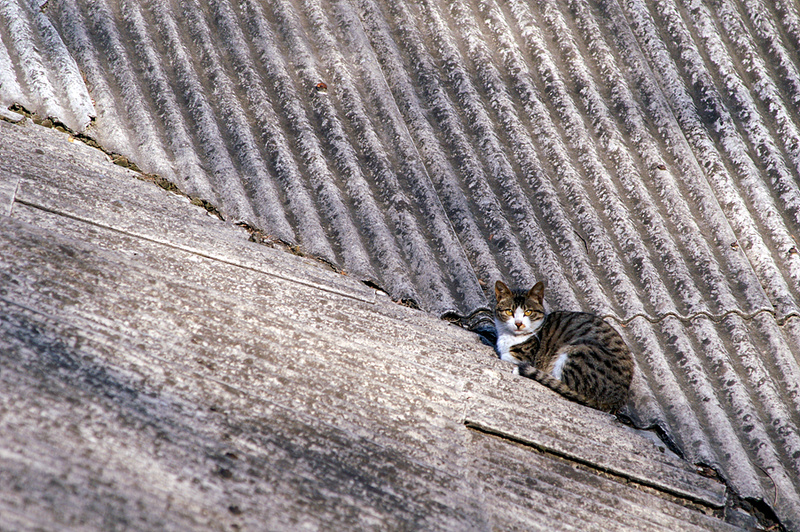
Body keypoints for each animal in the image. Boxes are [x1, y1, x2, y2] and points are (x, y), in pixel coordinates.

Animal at [490, 280, 636, 414]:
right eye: (509, 312)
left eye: (528, 312)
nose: (519, 323)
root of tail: (616, 399)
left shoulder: (524, 357)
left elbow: (506, 355)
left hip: (579, 351)